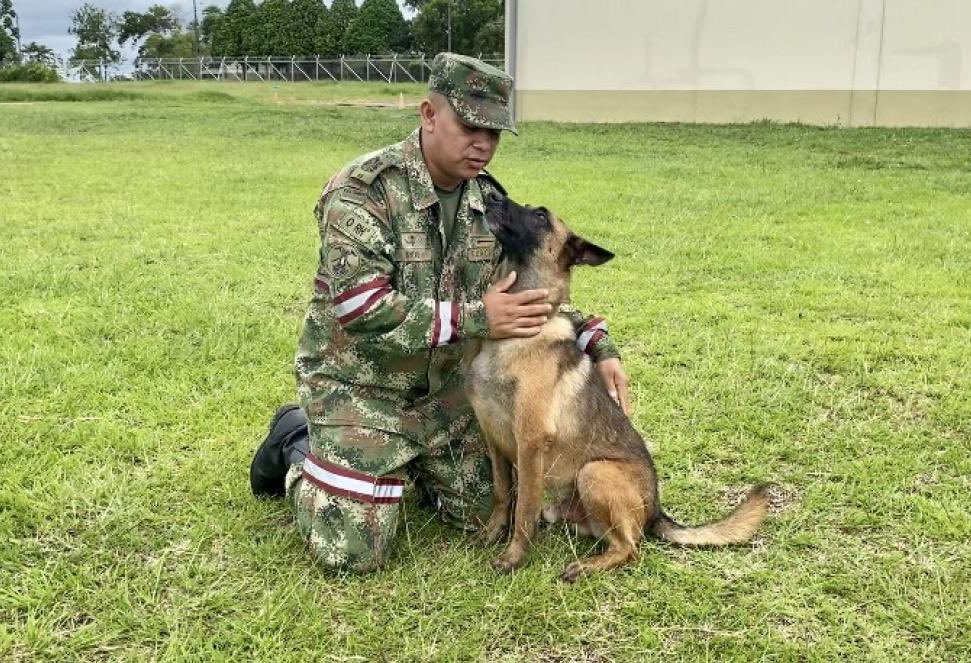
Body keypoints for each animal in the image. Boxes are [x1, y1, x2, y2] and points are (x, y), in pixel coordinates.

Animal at [468, 193, 772, 580]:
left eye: (540, 216)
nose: (492, 195)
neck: (513, 336)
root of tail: (656, 510)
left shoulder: (530, 442)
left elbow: (523, 510)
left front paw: (513, 558)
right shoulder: (494, 440)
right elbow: (502, 493)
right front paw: (491, 534)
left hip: (595, 472)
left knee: (630, 548)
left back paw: (585, 567)